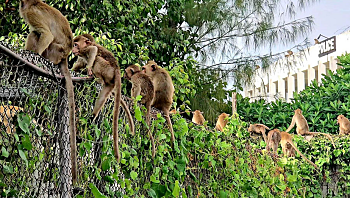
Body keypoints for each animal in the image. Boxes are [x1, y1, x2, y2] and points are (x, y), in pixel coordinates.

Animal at [19, 0, 77, 183]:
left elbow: (47, 34)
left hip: (53, 52)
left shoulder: (32, 13)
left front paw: (34, 55)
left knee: (39, 34)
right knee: (34, 33)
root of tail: (64, 56)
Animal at [72, 33, 135, 162]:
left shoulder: (85, 50)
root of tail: (117, 69)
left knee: (97, 59)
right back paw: (91, 118)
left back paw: (97, 78)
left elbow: (94, 50)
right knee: (101, 98)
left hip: (107, 69)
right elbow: (79, 64)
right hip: (110, 83)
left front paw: (88, 69)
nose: (73, 49)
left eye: (76, 44)